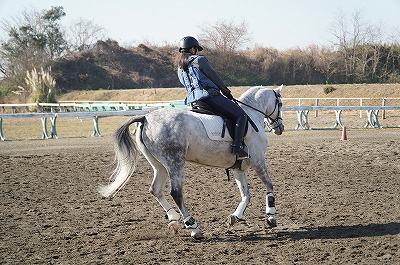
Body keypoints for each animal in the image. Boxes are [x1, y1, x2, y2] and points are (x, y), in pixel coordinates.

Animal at [98, 85, 282, 238]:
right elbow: (269, 185)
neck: (251, 114)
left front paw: (235, 217)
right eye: (280, 103)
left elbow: (246, 194)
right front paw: (271, 216)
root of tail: (145, 118)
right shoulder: (258, 160)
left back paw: (174, 219)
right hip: (175, 162)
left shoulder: (239, 168)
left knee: (155, 190)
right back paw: (193, 227)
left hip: (160, 165)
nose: (280, 128)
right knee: (176, 193)